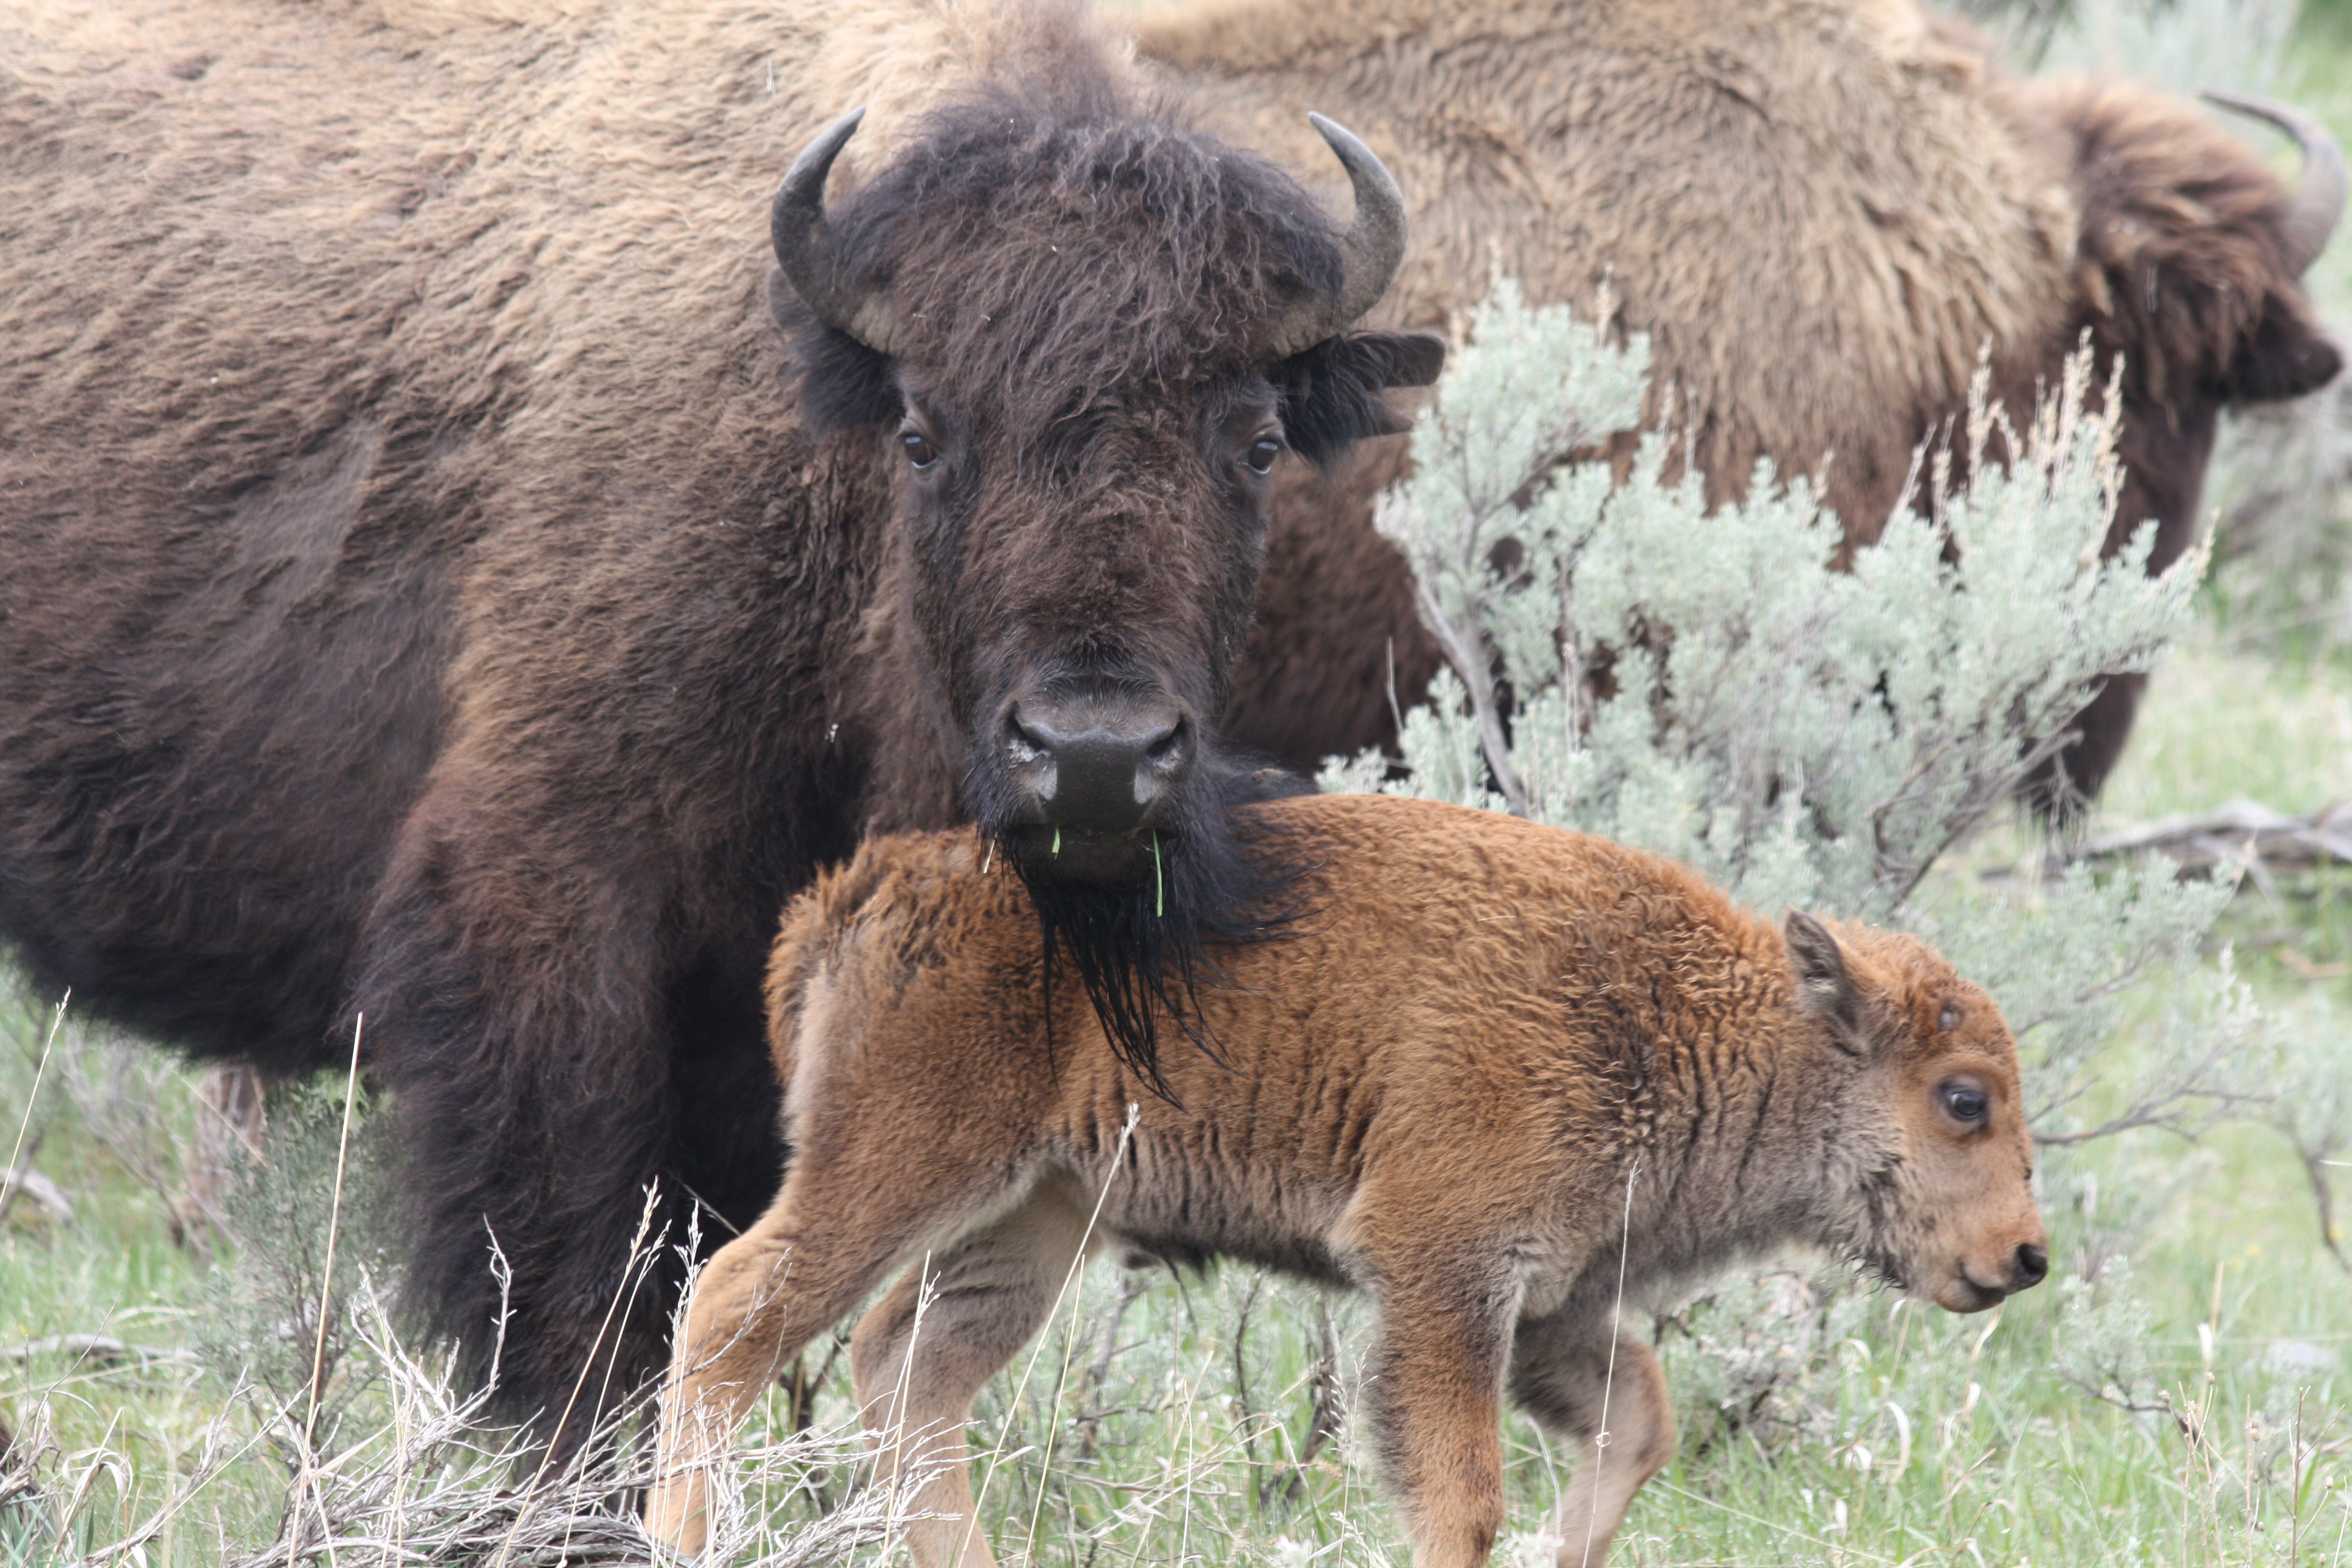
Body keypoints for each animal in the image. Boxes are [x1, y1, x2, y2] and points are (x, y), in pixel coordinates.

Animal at [0, 0, 1440, 1441]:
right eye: (923, 432)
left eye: (1256, 443)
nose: (1093, 756)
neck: (812, 448)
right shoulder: (548, 922)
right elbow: (577, 1292)